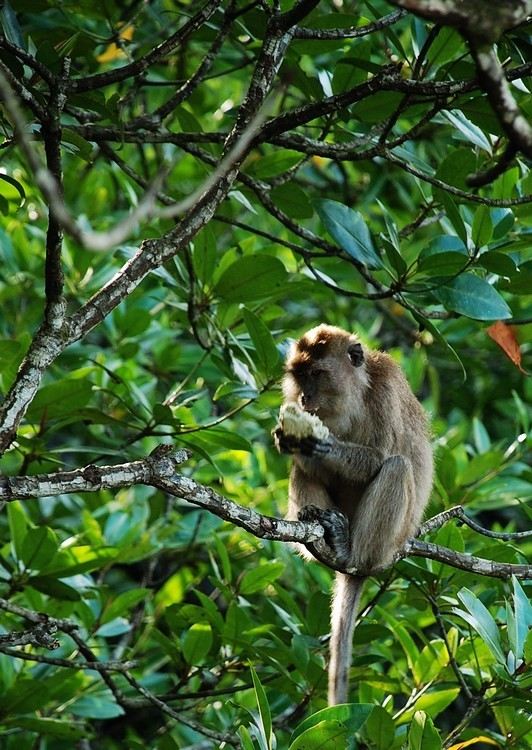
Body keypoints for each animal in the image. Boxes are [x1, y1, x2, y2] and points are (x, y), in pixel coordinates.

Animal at [274, 326, 432, 708]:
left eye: (317, 373)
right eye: (299, 375)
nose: (304, 399)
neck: (354, 396)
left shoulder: (385, 391)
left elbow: (380, 457)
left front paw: (319, 442)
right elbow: (308, 466)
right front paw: (290, 440)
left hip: (390, 541)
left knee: (396, 467)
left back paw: (349, 553)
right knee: (303, 471)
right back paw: (318, 532)